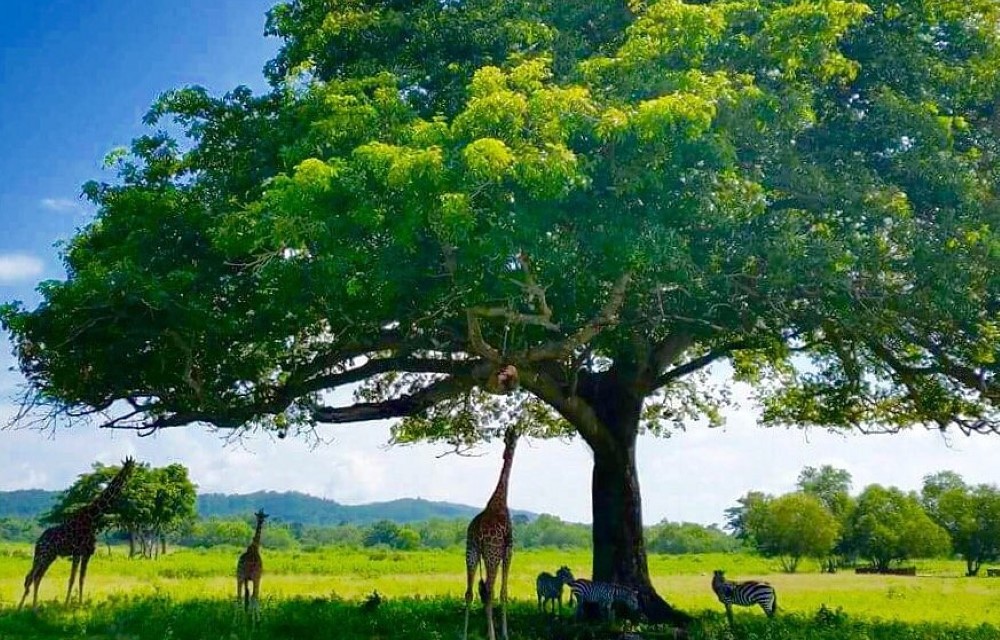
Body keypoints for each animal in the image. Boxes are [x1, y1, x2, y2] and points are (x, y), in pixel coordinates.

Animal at [19, 456, 137, 608]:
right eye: (129, 467)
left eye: (134, 466)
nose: (133, 475)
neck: (93, 517)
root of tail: (39, 541)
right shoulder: (77, 552)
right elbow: (72, 578)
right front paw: (66, 605)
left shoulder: (87, 553)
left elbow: (82, 579)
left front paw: (80, 604)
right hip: (43, 554)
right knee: (32, 576)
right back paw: (23, 607)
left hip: (50, 556)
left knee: (36, 576)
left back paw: (32, 607)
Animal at [464, 424, 520, 640]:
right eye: (514, 438)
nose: (512, 438)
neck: (499, 500)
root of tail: (479, 532)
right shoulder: (508, 550)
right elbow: (504, 592)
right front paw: (505, 633)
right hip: (491, 553)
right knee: (489, 592)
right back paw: (492, 635)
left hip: (471, 550)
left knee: (470, 592)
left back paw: (464, 635)